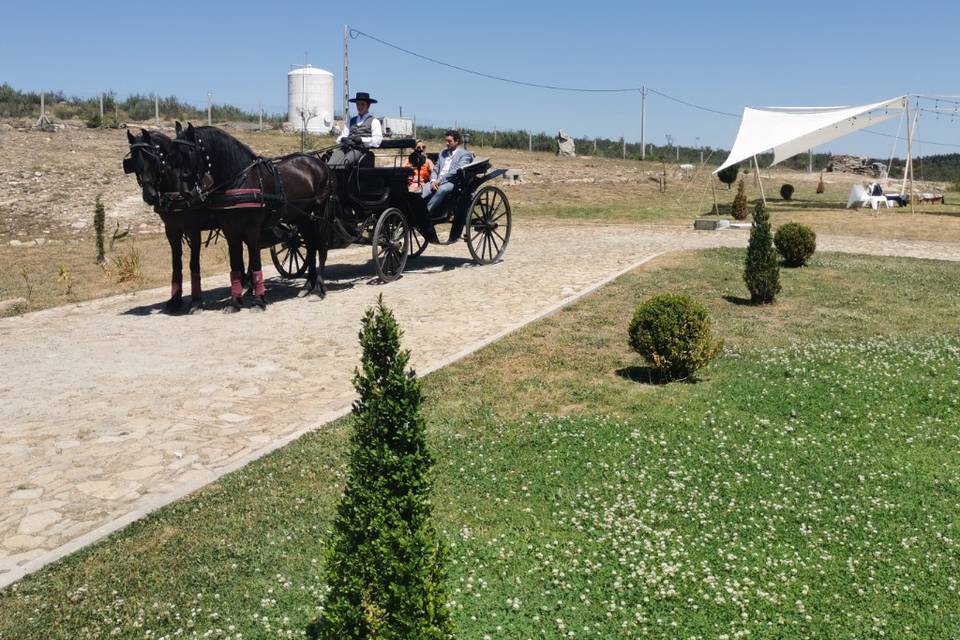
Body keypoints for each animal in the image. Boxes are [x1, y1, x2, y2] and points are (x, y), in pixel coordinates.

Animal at [124, 128, 215, 312]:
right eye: (134, 162)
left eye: (153, 159)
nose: (149, 196)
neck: (177, 190)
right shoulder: (171, 230)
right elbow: (176, 263)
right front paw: (175, 299)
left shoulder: (193, 230)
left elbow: (193, 264)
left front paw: (196, 300)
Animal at [171, 124, 336, 312]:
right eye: (173, 157)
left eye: (189, 153)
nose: (186, 193)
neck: (239, 180)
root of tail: (319, 163)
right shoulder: (231, 231)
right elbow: (235, 265)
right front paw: (235, 302)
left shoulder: (252, 230)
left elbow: (255, 262)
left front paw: (258, 300)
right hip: (302, 218)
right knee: (310, 245)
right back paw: (308, 285)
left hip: (320, 214)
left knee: (321, 245)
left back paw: (318, 288)